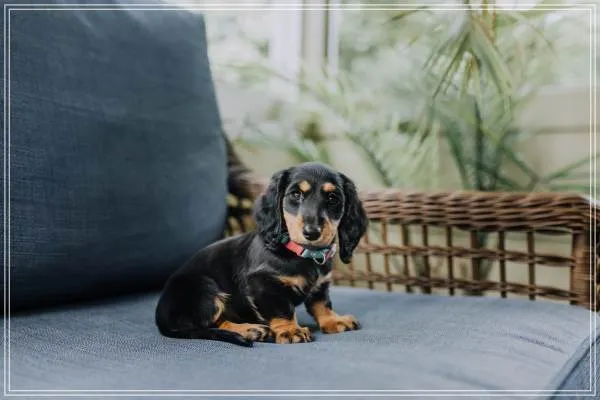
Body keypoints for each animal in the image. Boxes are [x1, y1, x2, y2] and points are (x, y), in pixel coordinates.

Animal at [155, 162, 368, 347]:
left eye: (333, 198)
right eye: (296, 194)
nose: (312, 232)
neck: (301, 253)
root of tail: (160, 317)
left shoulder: (321, 285)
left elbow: (321, 303)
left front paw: (333, 320)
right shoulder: (263, 284)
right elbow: (282, 309)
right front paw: (290, 330)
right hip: (204, 287)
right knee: (211, 323)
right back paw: (250, 330)